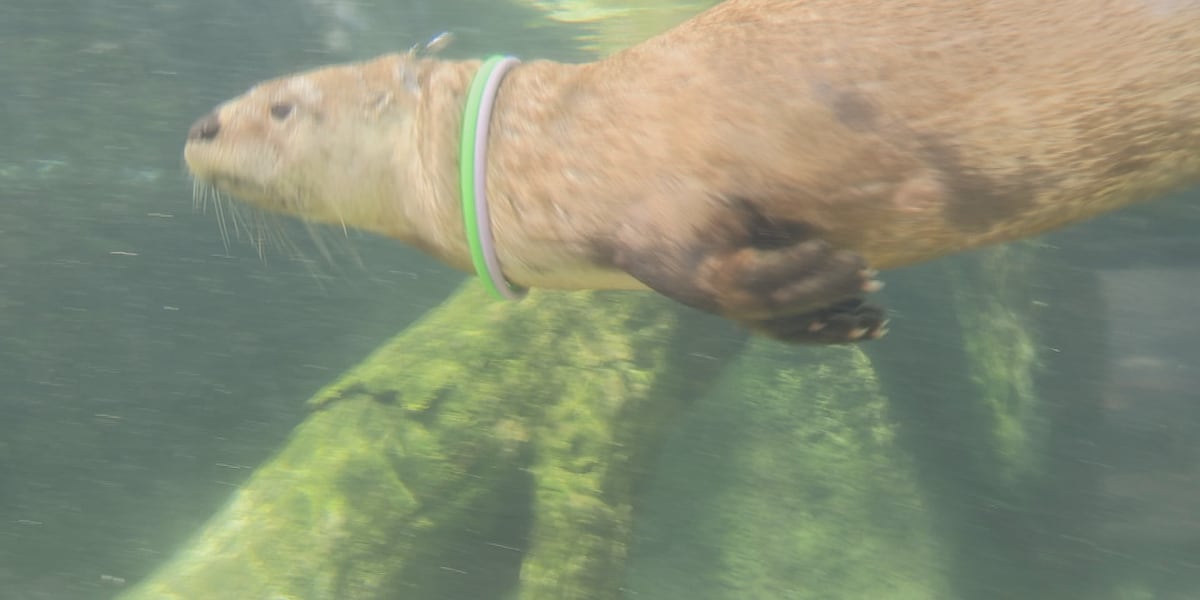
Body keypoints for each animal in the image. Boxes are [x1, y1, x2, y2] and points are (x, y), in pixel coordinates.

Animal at [184, 0, 1200, 344]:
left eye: (280, 106)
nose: (197, 126)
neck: (534, 148)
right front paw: (839, 316)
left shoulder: (647, 191)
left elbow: (707, 274)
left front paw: (819, 278)